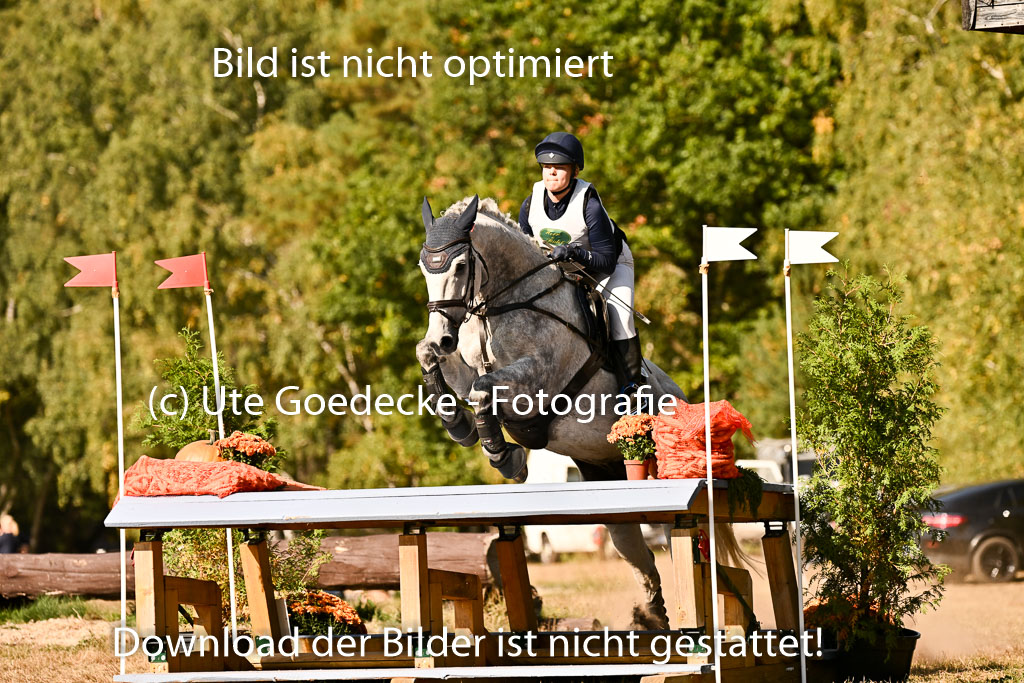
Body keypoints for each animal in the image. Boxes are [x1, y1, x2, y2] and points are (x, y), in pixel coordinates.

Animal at [415, 195, 741, 628]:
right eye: (425, 266)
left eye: (461, 266)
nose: (443, 336)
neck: (503, 305)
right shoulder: (464, 367)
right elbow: (431, 360)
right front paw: (460, 425)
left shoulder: (536, 382)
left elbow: (486, 391)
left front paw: (505, 456)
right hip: (610, 477)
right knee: (636, 548)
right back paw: (651, 616)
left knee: (687, 546)